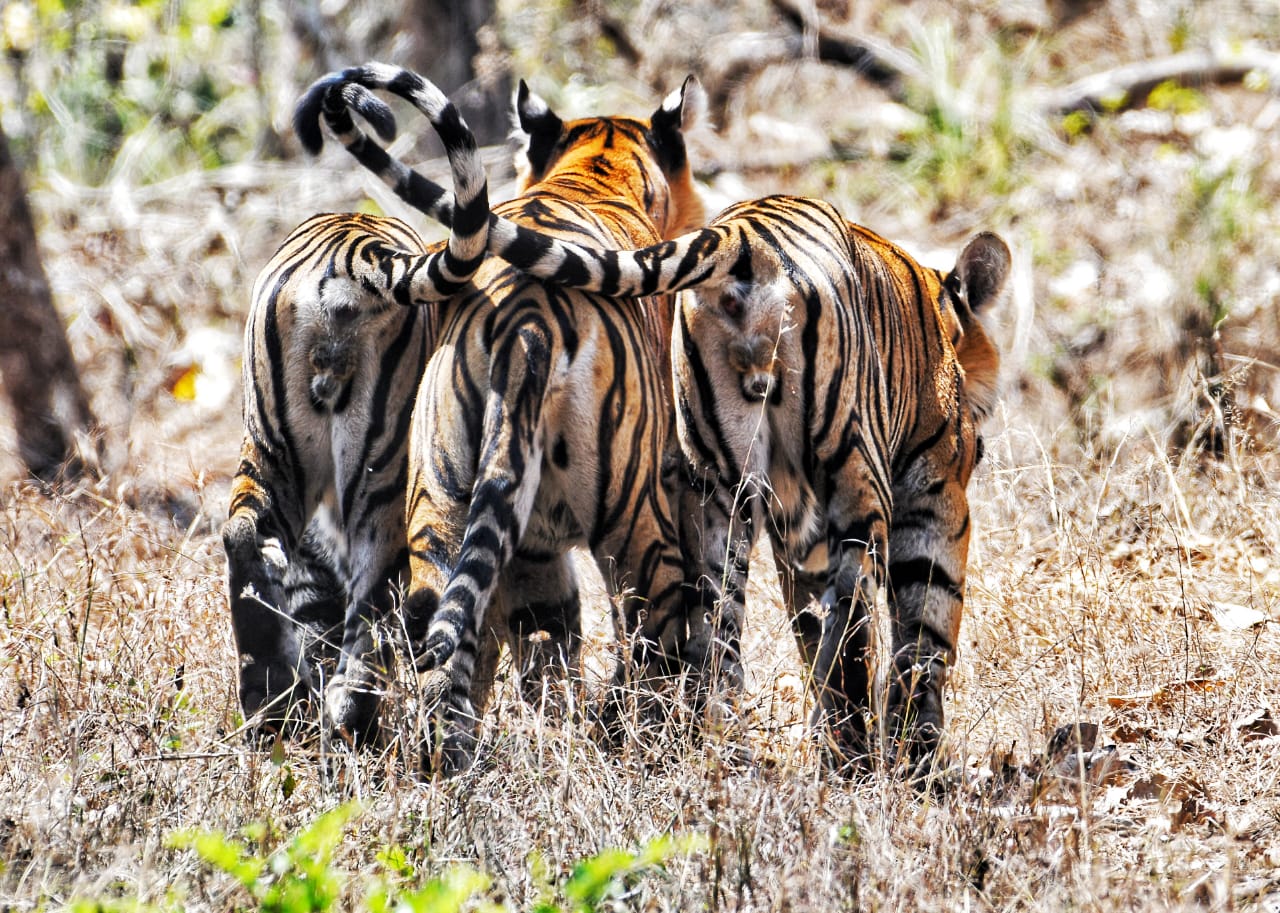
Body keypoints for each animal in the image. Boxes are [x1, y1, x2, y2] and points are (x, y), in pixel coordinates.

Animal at [220, 71, 488, 742]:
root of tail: (351, 257)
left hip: (271, 448)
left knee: (242, 532)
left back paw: (266, 696)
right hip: (382, 473)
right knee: (374, 601)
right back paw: (350, 709)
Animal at [294, 62, 706, 768]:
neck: (598, 168)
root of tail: (526, 324)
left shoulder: (532, 553)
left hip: (439, 503)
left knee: (446, 644)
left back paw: (448, 764)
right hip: (636, 519)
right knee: (652, 636)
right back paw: (642, 749)